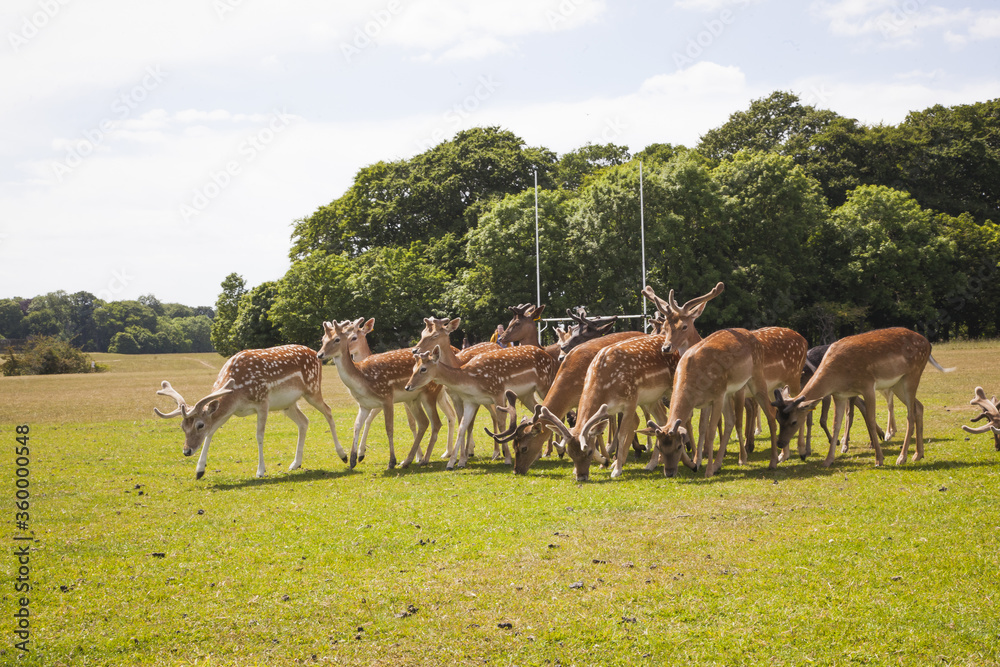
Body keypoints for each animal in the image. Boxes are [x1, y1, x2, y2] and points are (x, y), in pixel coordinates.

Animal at [152, 344, 346, 480]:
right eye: (182, 427)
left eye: (199, 425)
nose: (186, 451)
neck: (237, 390)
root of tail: (316, 354)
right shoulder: (230, 411)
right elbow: (211, 433)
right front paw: (199, 471)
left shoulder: (262, 402)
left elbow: (259, 435)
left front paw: (260, 471)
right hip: (288, 404)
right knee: (304, 421)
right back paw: (295, 464)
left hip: (312, 389)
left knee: (328, 411)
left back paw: (343, 455)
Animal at [768, 330, 956, 470]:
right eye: (778, 419)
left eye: (793, 421)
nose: (780, 442)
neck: (837, 376)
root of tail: (929, 344)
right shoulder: (840, 395)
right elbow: (836, 425)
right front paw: (828, 460)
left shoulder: (868, 386)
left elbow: (870, 421)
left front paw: (879, 459)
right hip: (898, 383)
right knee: (919, 407)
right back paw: (918, 454)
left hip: (912, 374)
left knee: (910, 415)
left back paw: (902, 457)